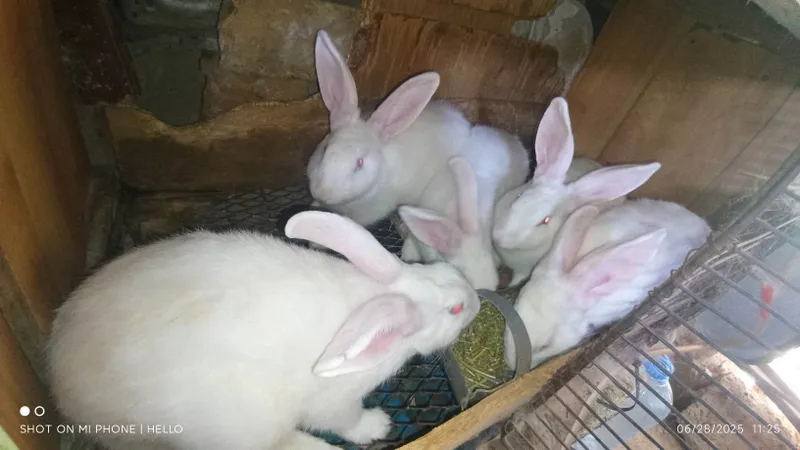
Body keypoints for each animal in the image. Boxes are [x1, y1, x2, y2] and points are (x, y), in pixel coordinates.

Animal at [48, 211, 479, 450]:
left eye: (446, 270)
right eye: (455, 309)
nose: (475, 300)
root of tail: (61, 385)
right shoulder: (334, 401)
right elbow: (346, 421)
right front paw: (377, 426)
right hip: (241, 425)